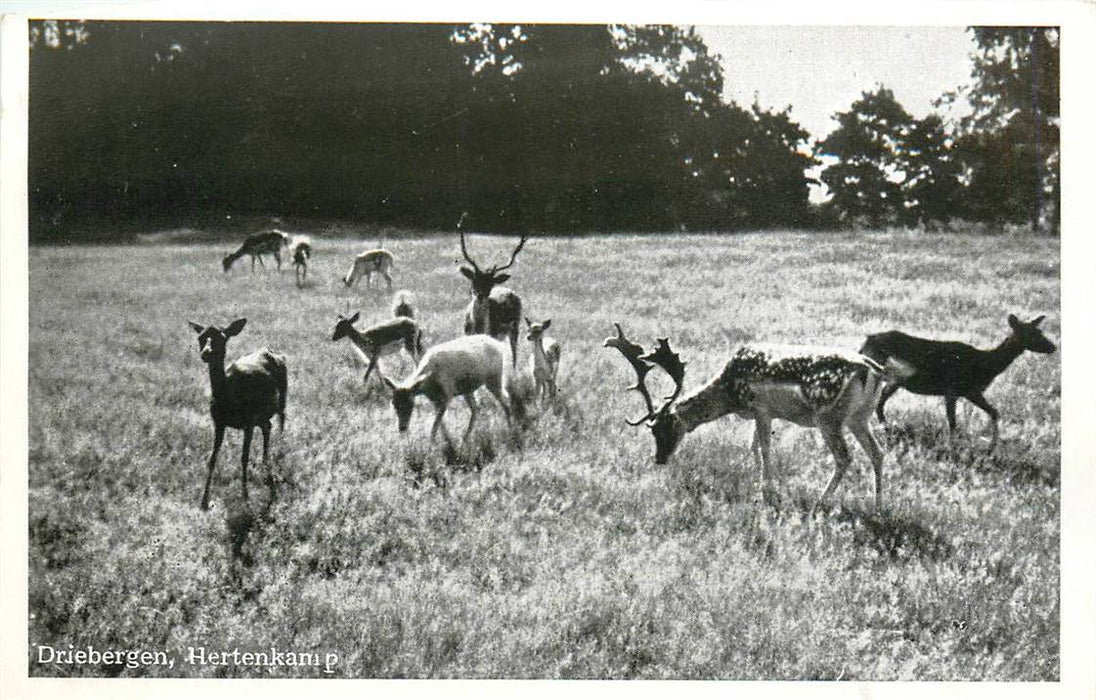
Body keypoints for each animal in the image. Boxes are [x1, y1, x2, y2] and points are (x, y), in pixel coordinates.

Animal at [186, 317, 287, 508]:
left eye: (222, 338)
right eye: (200, 338)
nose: (206, 353)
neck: (229, 398)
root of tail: (272, 352)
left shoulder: (248, 422)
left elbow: (244, 458)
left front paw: (246, 499)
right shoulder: (218, 421)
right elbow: (212, 458)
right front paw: (204, 501)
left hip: (282, 396)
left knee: (281, 420)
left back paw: (279, 453)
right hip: (261, 413)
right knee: (267, 426)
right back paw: (265, 462)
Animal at [379, 333, 510, 442]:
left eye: (411, 404)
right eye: (394, 403)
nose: (402, 428)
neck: (428, 383)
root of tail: (499, 345)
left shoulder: (447, 394)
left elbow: (435, 425)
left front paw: (432, 444)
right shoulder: (435, 399)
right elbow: (440, 424)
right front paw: (447, 442)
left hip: (494, 378)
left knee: (505, 400)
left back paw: (511, 428)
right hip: (467, 388)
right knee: (475, 408)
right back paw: (465, 437)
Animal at [458, 228, 526, 368]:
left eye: (491, 284)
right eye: (474, 280)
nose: (480, 295)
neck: (478, 327)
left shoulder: (493, 334)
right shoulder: (466, 333)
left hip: (515, 327)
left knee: (514, 354)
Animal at [604, 326, 894, 512]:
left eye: (666, 429)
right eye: (652, 431)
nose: (659, 459)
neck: (731, 394)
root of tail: (873, 369)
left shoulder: (762, 408)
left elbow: (764, 448)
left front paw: (767, 491)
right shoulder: (762, 413)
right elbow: (752, 446)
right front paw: (758, 483)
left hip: (828, 416)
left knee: (844, 457)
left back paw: (820, 503)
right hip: (859, 417)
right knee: (877, 452)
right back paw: (878, 508)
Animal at [859, 311, 1056, 449]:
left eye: (1039, 330)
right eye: (1031, 333)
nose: (1053, 347)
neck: (985, 363)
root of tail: (865, 343)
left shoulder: (971, 391)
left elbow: (994, 412)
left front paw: (992, 448)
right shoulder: (952, 389)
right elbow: (953, 421)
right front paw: (953, 448)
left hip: (894, 380)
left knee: (880, 402)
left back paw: (886, 429)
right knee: (875, 402)